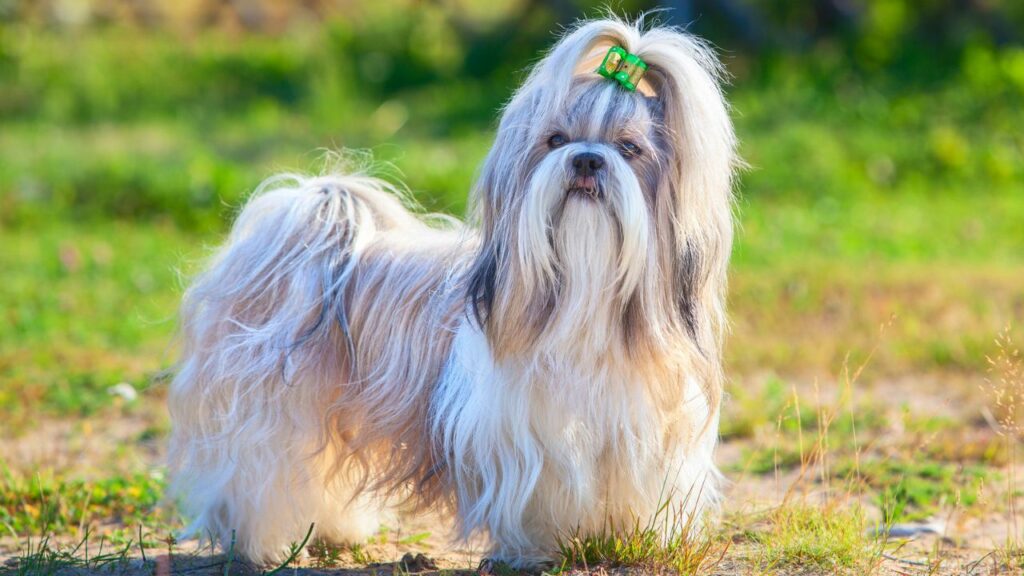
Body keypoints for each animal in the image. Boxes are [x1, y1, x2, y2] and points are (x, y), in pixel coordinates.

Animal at [167, 16, 737, 565]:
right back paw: (259, 541)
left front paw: (628, 539)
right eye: (555, 139)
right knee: (257, 474)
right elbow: (538, 498)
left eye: (629, 148)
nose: (587, 159)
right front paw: (537, 549)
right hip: (269, 410)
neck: (583, 295)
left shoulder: (638, 426)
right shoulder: (525, 439)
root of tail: (313, 217)